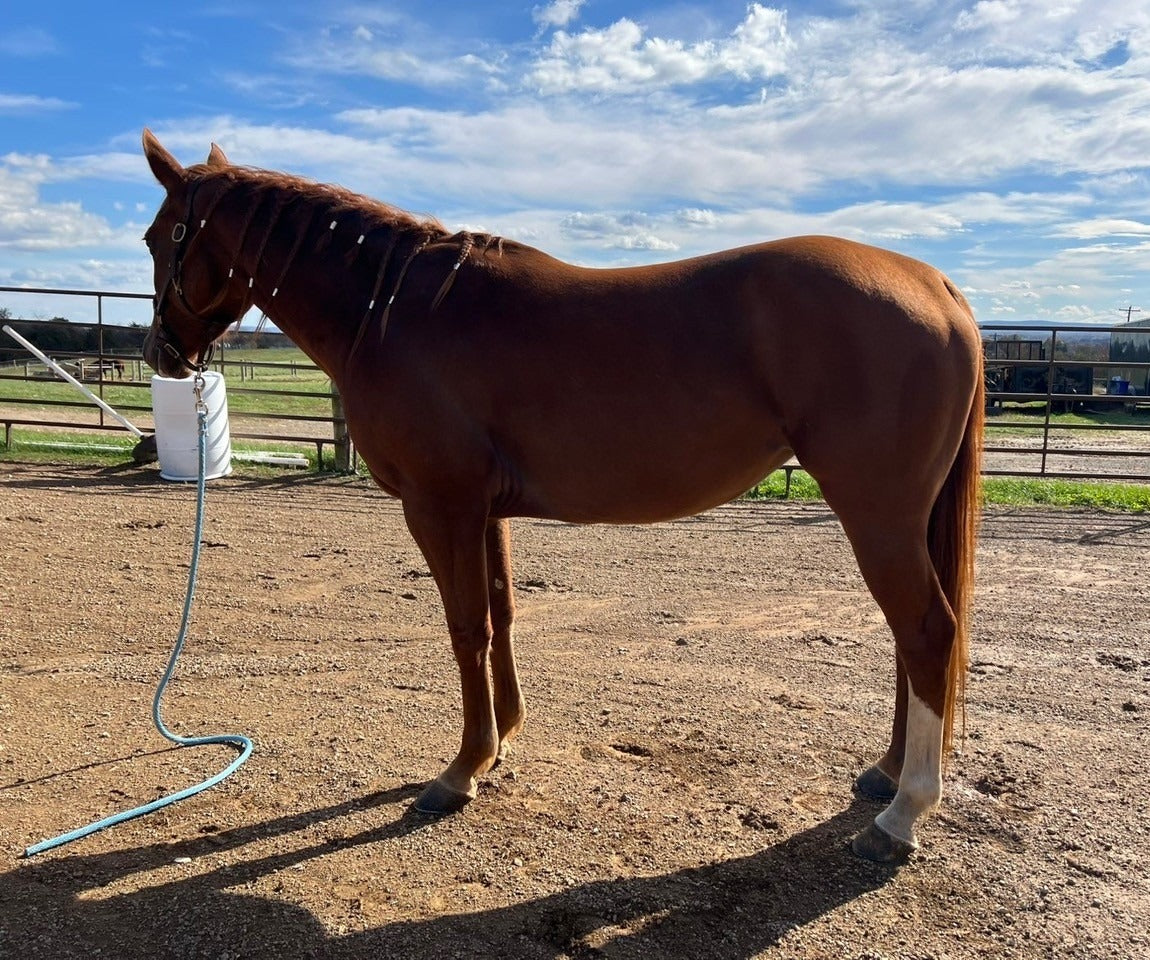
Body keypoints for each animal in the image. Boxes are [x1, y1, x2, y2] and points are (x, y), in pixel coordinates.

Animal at [140, 130, 983, 864]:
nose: (163, 354)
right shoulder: (485, 511)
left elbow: (467, 628)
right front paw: (503, 737)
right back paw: (885, 773)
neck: (396, 311)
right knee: (913, 639)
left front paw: (463, 768)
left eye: (157, 239)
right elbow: (503, 613)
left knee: (927, 631)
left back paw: (904, 811)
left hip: (878, 514)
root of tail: (935, 285)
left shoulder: (439, 506)